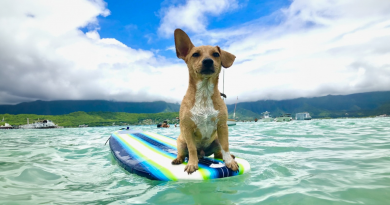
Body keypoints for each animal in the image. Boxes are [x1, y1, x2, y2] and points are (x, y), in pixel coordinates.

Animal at [172, 28, 239, 174]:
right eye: (195, 54)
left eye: (216, 54)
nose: (208, 61)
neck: (204, 91)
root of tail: (202, 153)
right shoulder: (187, 128)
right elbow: (191, 149)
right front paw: (192, 164)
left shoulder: (222, 126)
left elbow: (226, 146)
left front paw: (229, 162)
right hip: (180, 141)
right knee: (183, 153)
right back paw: (178, 159)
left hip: (216, 140)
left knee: (218, 154)